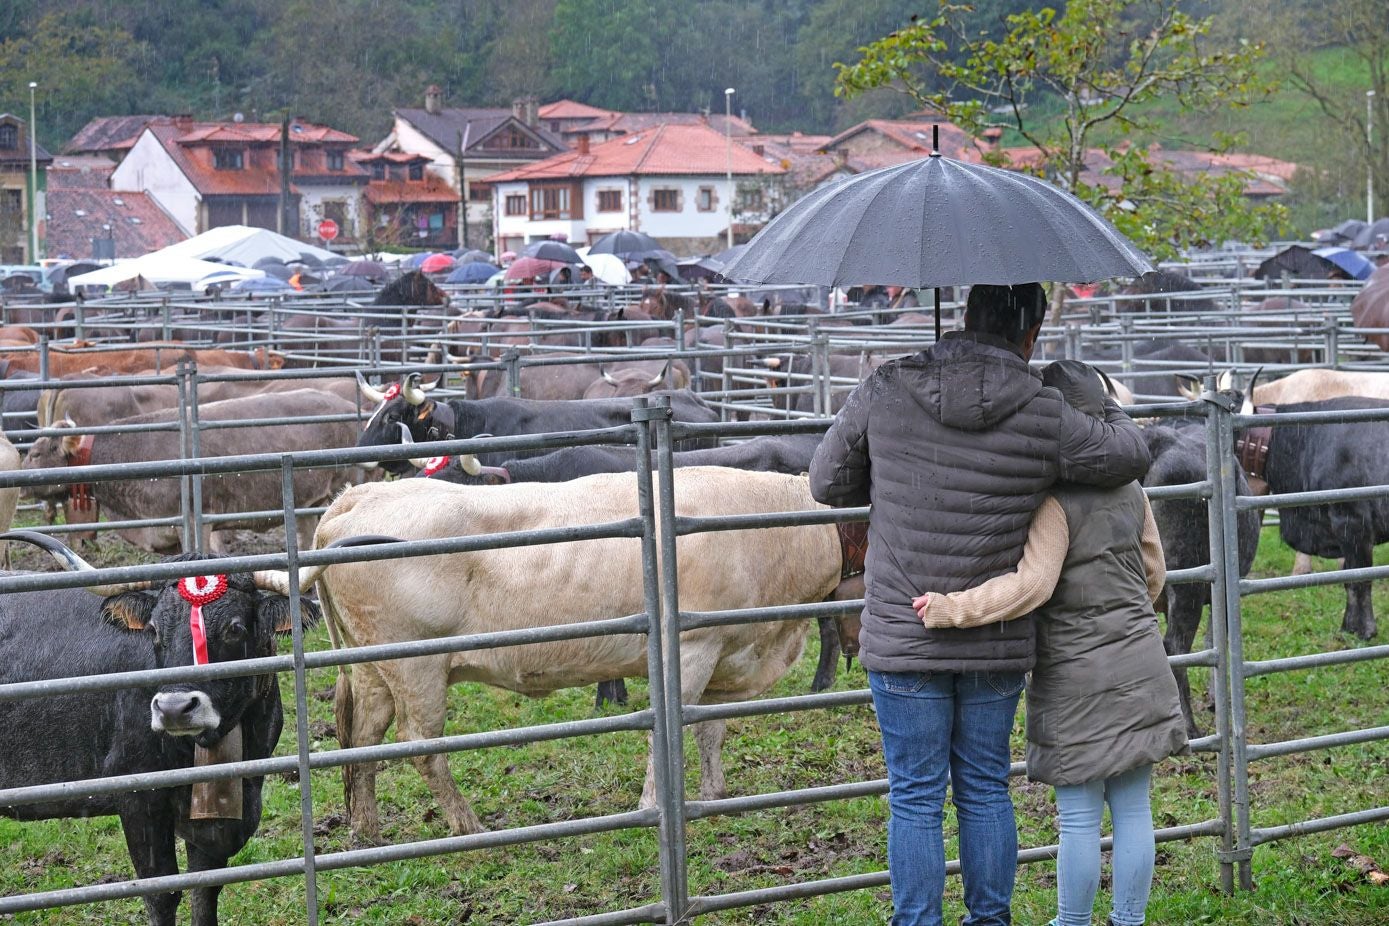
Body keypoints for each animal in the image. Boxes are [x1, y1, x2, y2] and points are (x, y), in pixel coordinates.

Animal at [0, 527, 318, 926]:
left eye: (235, 628)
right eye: (153, 630)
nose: (174, 708)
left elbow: (205, 889)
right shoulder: (138, 798)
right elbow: (162, 893)